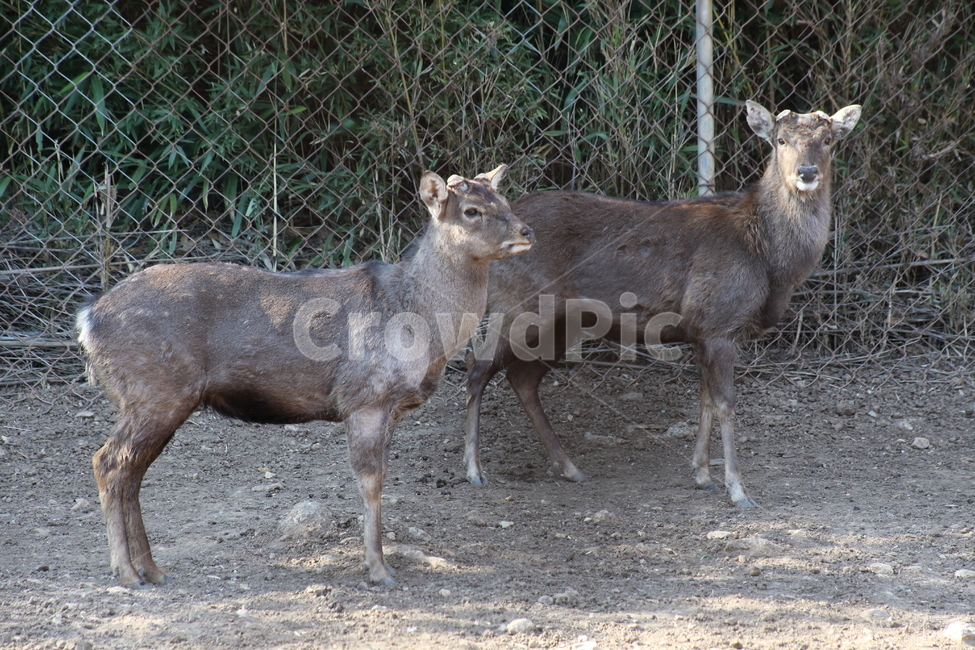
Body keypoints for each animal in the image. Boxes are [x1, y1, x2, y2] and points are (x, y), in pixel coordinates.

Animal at [76, 165, 534, 587]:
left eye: (504, 200)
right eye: (472, 210)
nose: (526, 230)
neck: (421, 322)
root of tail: (87, 319)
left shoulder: (390, 409)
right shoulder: (363, 397)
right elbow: (371, 482)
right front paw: (378, 570)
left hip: (154, 399)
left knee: (131, 471)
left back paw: (152, 569)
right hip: (154, 391)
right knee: (108, 462)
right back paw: (126, 572)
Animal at [463, 101, 861, 507]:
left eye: (828, 140)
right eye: (780, 140)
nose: (807, 172)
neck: (769, 263)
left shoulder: (701, 330)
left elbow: (704, 400)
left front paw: (702, 475)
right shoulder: (719, 323)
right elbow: (726, 403)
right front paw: (738, 490)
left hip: (559, 324)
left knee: (522, 378)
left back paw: (570, 467)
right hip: (516, 305)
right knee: (477, 369)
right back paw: (475, 469)